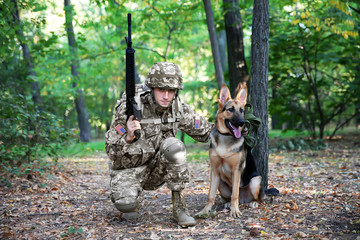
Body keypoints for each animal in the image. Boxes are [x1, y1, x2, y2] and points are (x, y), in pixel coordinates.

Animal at [197, 84, 264, 218]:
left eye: (242, 110)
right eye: (231, 109)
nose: (242, 123)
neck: (226, 137)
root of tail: (244, 199)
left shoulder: (236, 170)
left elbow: (235, 194)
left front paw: (235, 211)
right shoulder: (214, 170)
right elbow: (210, 195)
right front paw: (205, 210)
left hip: (255, 180)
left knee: (257, 198)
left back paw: (253, 202)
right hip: (221, 184)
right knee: (228, 197)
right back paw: (228, 203)